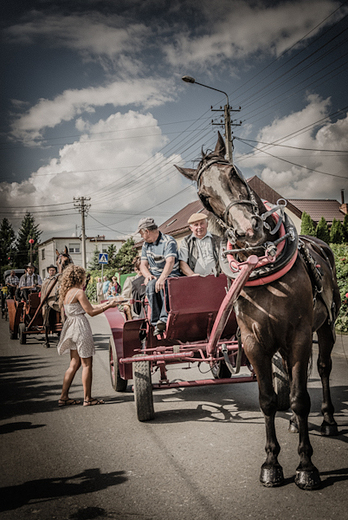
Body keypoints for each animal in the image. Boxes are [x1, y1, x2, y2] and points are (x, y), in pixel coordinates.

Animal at [175, 132, 338, 490]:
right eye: (203, 195)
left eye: (234, 172)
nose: (250, 232)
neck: (262, 269)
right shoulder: (253, 342)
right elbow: (267, 400)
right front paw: (271, 464)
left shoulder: (300, 336)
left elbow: (301, 398)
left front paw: (307, 467)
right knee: (294, 374)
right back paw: (294, 423)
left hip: (326, 327)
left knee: (322, 368)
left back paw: (329, 419)